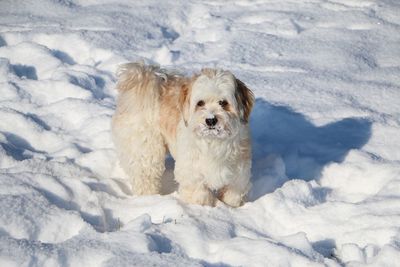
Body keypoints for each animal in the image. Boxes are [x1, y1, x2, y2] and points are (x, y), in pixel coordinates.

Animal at [111, 62, 256, 207]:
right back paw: (148, 197)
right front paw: (203, 206)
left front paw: (230, 207)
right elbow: (198, 193)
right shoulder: (193, 173)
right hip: (145, 148)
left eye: (223, 103)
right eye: (200, 103)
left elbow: (233, 193)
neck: (213, 142)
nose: (210, 120)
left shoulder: (239, 174)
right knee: (145, 173)